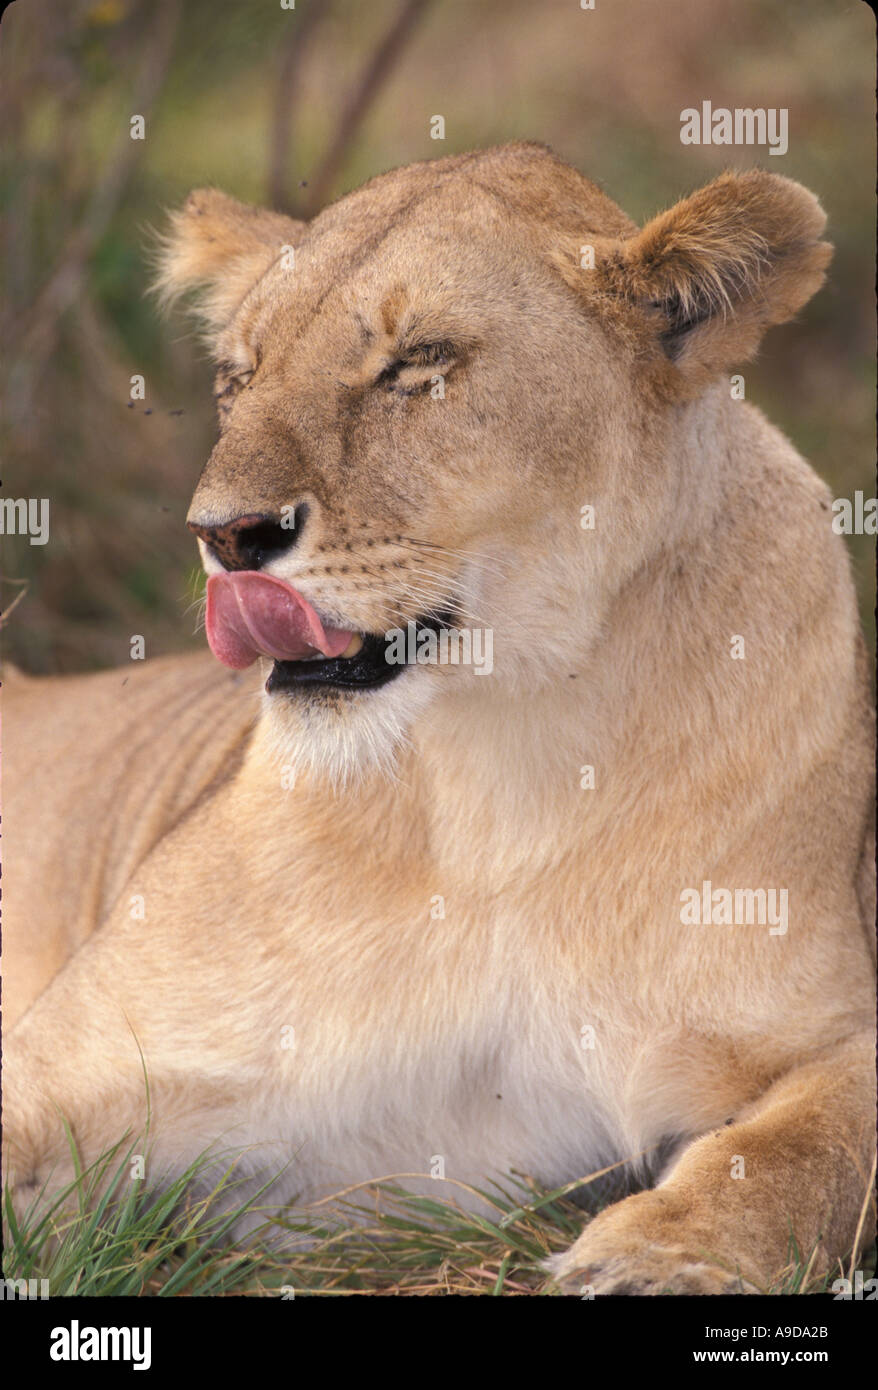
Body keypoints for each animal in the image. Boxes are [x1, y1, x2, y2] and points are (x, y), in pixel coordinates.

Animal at [3, 143, 875, 1295]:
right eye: (239, 376)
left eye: (417, 363)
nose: (224, 535)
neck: (499, 764)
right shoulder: (63, 1068)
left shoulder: (822, 1027)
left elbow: (802, 1151)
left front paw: (656, 1257)